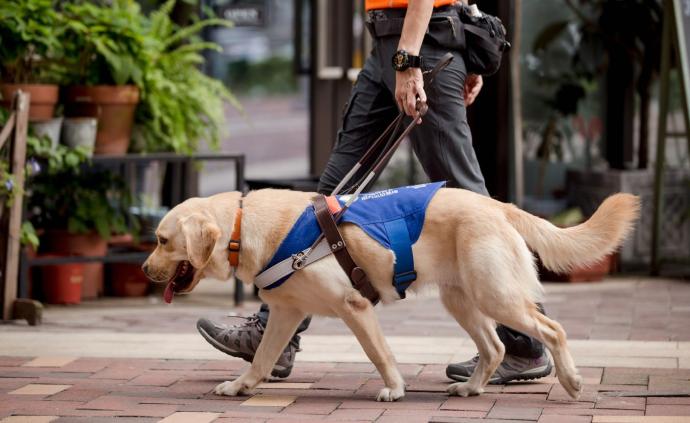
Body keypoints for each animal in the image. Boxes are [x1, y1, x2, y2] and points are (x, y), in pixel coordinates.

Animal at [142, 187, 636, 402]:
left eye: (163, 241)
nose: (145, 270)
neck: (242, 228)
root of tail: (497, 203)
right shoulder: (284, 312)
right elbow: (263, 358)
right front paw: (241, 386)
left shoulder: (355, 306)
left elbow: (380, 354)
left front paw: (395, 389)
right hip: (461, 299)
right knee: (494, 347)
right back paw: (472, 388)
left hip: (495, 295)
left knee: (553, 330)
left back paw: (571, 381)